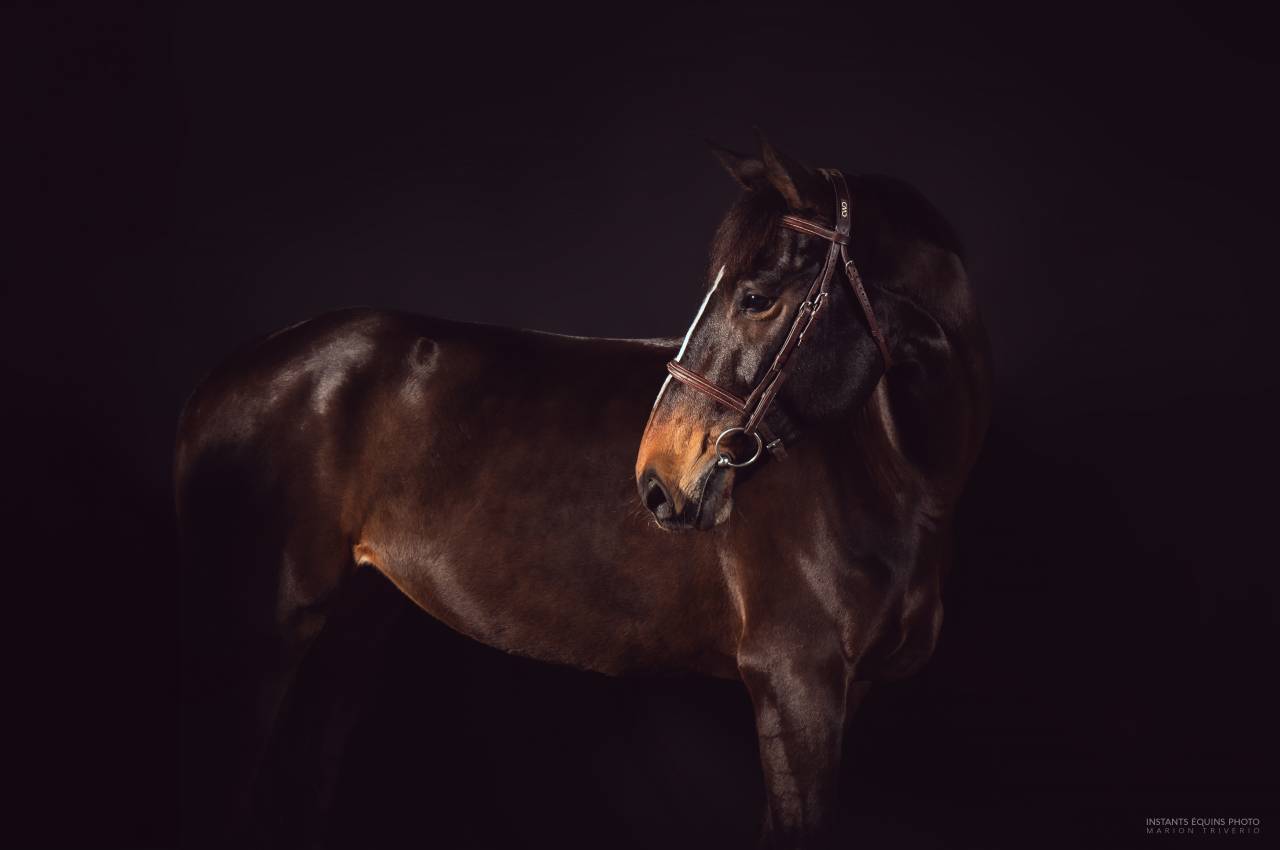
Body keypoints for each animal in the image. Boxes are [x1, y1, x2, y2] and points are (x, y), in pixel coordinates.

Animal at [176, 137, 991, 849]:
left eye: (756, 296)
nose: (658, 476)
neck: (891, 474)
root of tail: (227, 376)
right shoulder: (795, 686)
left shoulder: (837, 697)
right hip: (259, 640)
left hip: (345, 641)